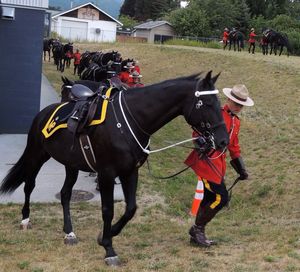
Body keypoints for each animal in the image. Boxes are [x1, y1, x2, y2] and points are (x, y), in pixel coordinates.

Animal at [0, 71, 227, 266]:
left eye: (219, 104)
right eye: (207, 104)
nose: (223, 140)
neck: (128, 121)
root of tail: (44, 113)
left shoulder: (130, 171)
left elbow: (130, 208)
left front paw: (106, 235)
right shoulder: (106, 174)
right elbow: (107, 210)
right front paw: (109, 249)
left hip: (71, 165)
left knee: (65, 194)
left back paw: (69, 232)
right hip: (36, 156)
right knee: (29, 185)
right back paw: (25, 219)